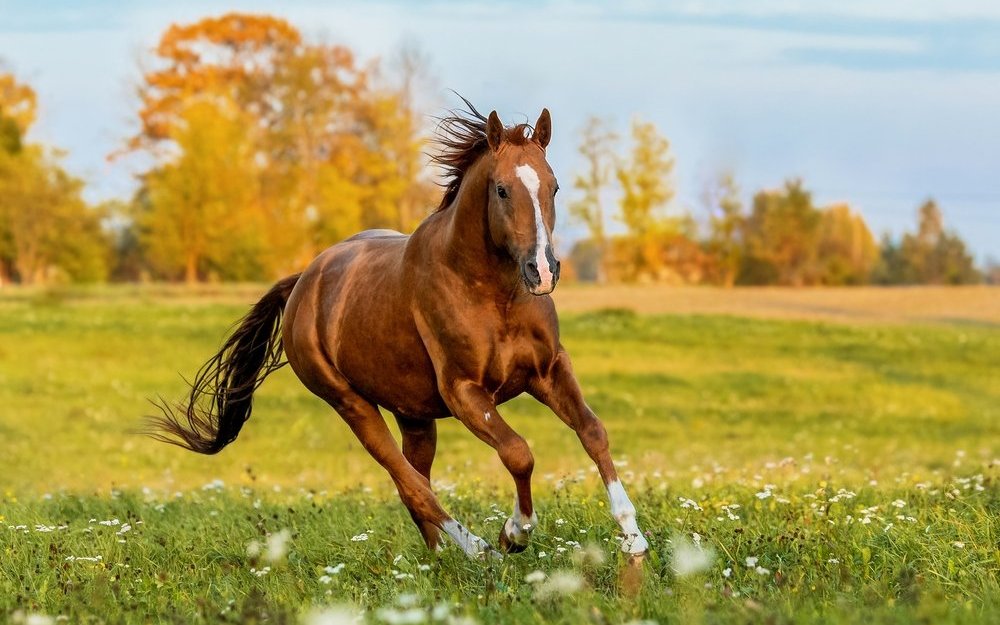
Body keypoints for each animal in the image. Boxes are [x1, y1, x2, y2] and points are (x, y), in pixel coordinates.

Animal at [148, 100, 648, 560]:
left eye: (554, 186)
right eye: (503, 190)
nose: (542, 271)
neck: (492, 294)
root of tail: (303, 282)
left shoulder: (548, 370)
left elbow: (592, 431)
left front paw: (633, 538)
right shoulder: (464, 392)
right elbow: (518, 452)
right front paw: (514, 533)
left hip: (414, 415)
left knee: (416, 479)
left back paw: (440, 557)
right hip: (352, 405)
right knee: (411, 484)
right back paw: (478, 550)